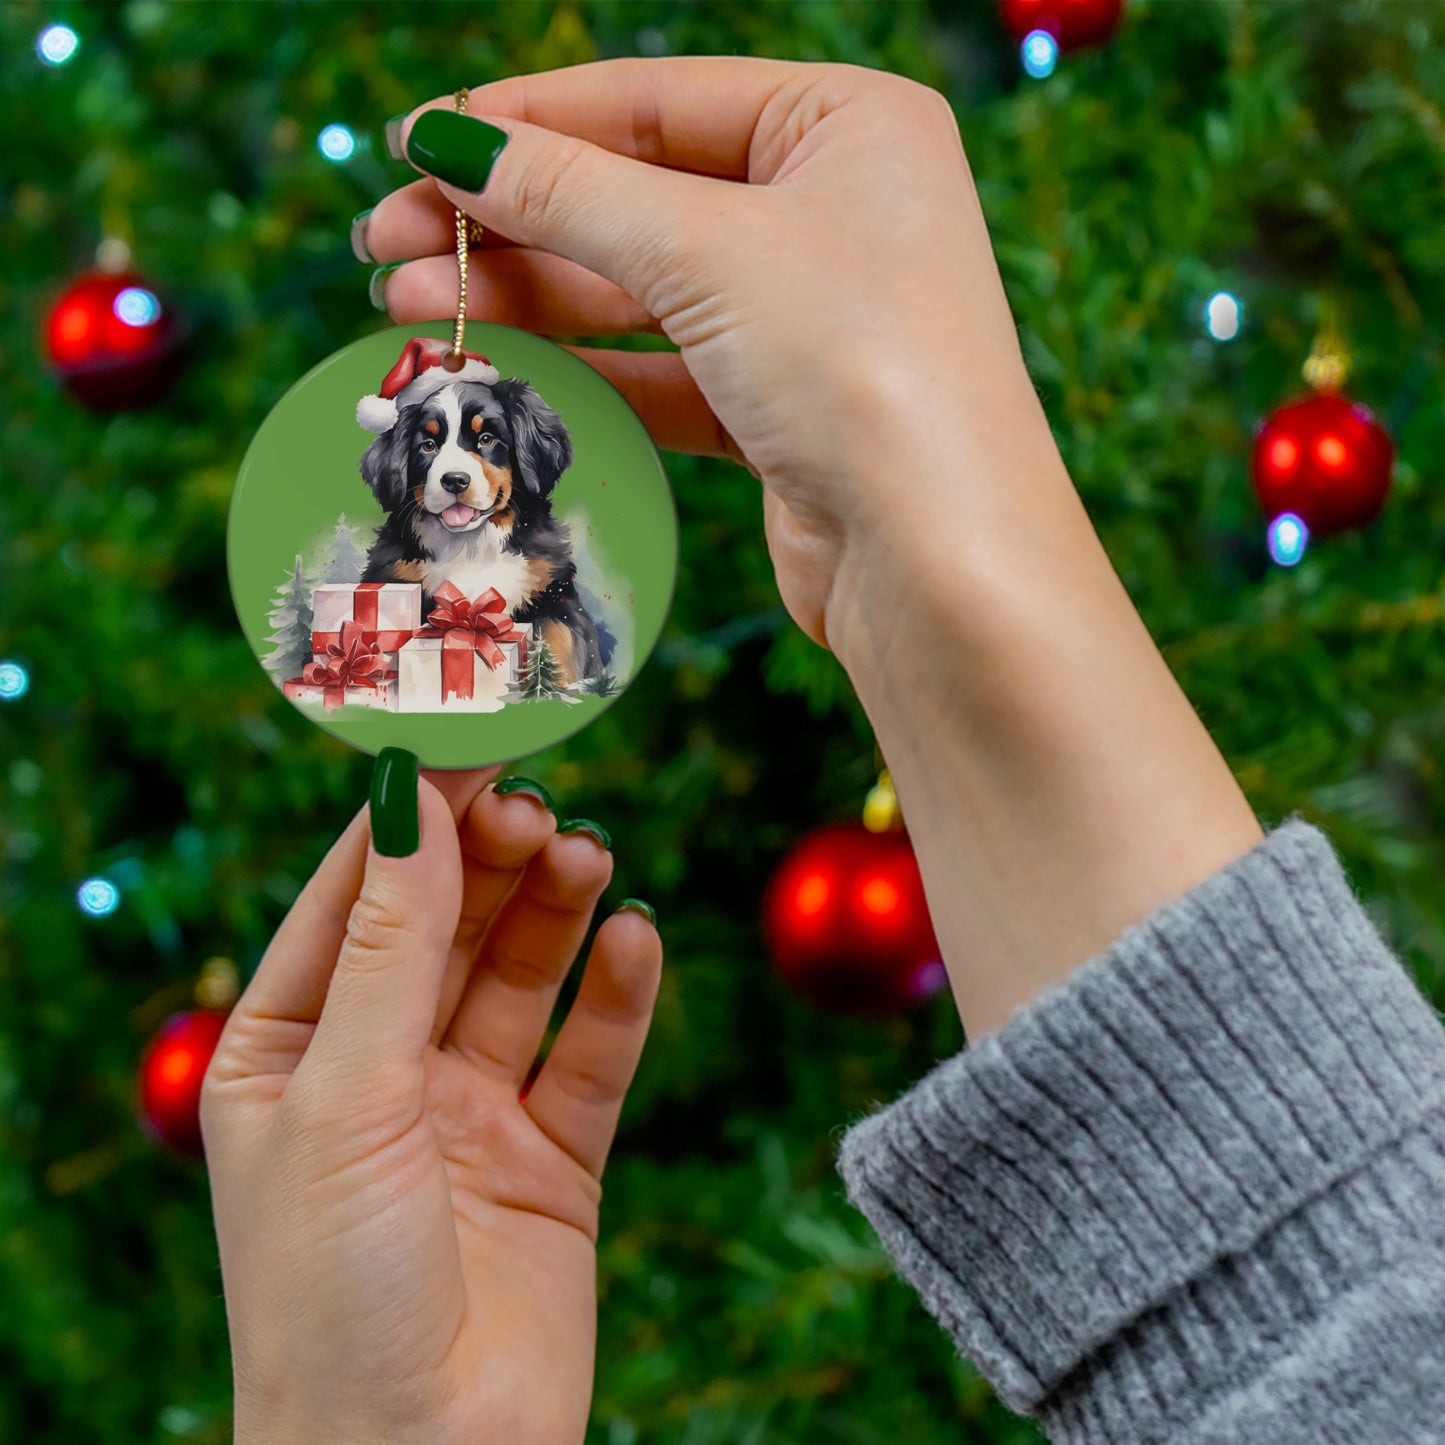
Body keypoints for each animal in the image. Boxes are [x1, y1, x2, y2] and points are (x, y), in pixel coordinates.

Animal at [361, 375, 615, 684]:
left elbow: (562, 644)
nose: (454, 480)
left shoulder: (553, 592)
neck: (470, 546)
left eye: (486, 439)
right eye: (428, 446)